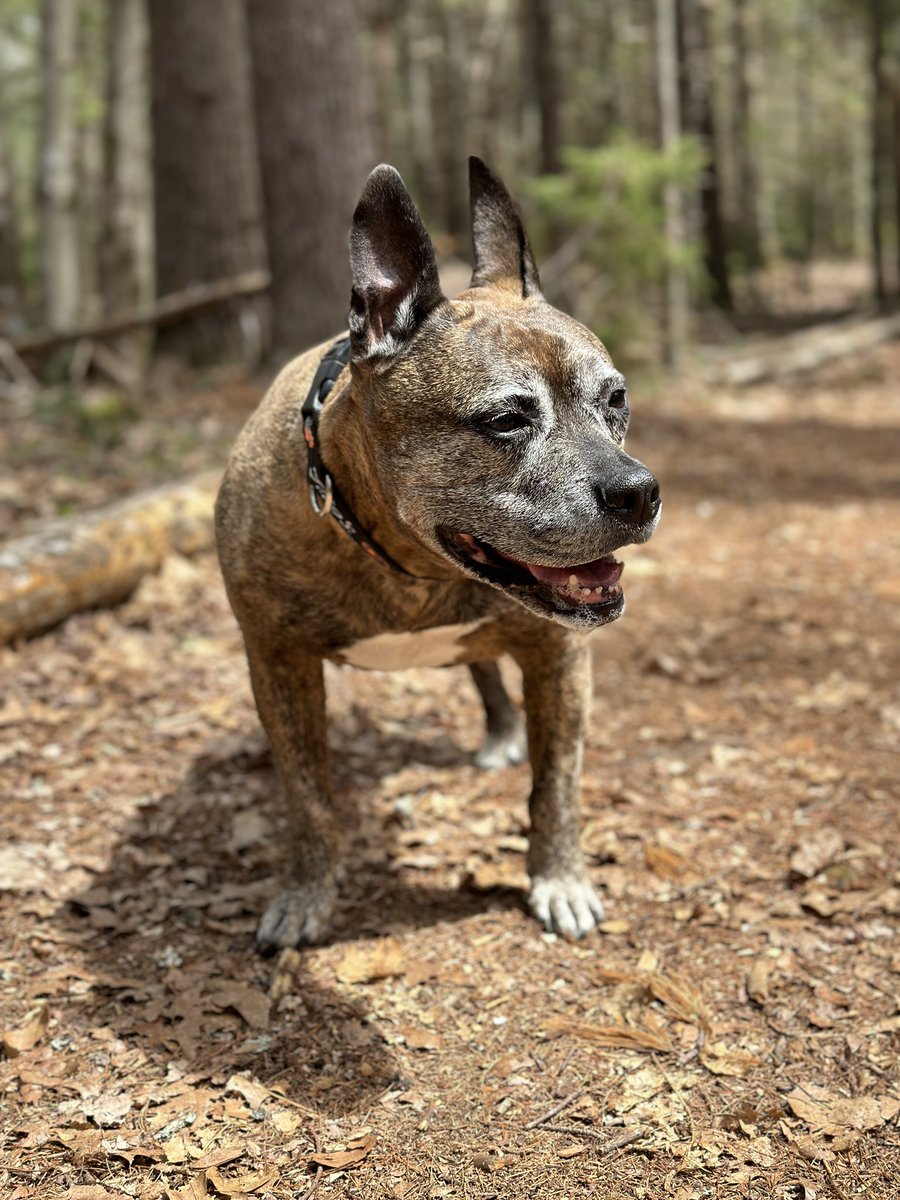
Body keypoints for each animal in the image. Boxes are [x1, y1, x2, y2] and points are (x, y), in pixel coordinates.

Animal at [213, 157, 662, 945]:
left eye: (616, 400)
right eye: (507, 420)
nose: (638, 492)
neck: (410, 566)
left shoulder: (559, 658)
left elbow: (557, 786)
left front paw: (560, 879)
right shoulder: (277, 661)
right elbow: (308, 796)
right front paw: (305, 893)